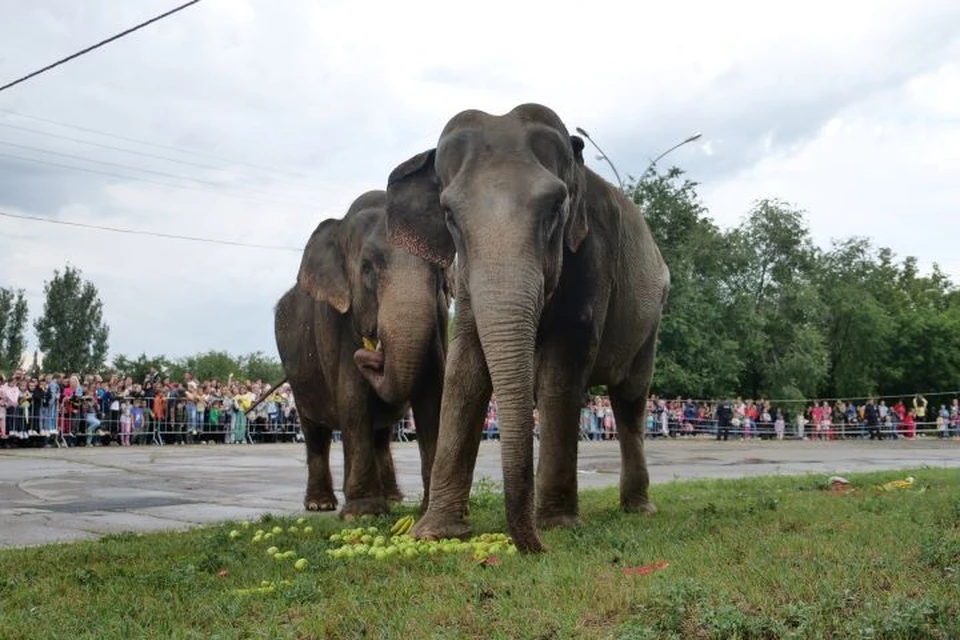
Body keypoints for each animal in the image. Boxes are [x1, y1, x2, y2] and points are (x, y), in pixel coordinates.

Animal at [274, 189, 454, 516]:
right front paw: (363, 513)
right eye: (367, 267)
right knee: (315, 433)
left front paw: (427, 509)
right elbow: (352, 396)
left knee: (381, 435)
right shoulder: (334, 320)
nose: (371, 355)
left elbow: (432, 394)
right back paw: (320, 504)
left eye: (438, 268)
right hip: (298, 379)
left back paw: (392, 498)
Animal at [386, 104, 672, 552]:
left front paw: (557, 523)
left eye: (556, 207)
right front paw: (434, 532)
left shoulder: (592, 255)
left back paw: (639, 508)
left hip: (651, 319)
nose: (535, 547)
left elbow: (562, 370)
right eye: (449, 215)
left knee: (629, 398)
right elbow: (465, 367)